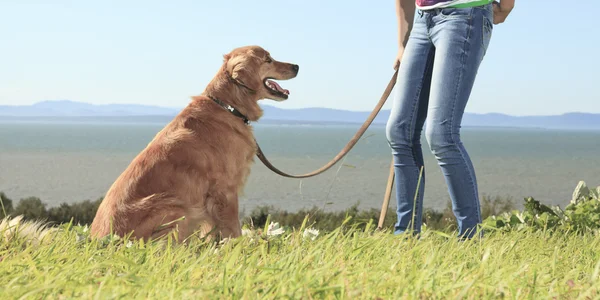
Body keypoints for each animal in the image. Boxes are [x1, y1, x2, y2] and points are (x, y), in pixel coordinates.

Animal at [89, 45, 300, 241]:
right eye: (268, 60)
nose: (296, 66)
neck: (228, 106)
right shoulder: (225, 190)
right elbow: (233, 230)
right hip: (175, 206)